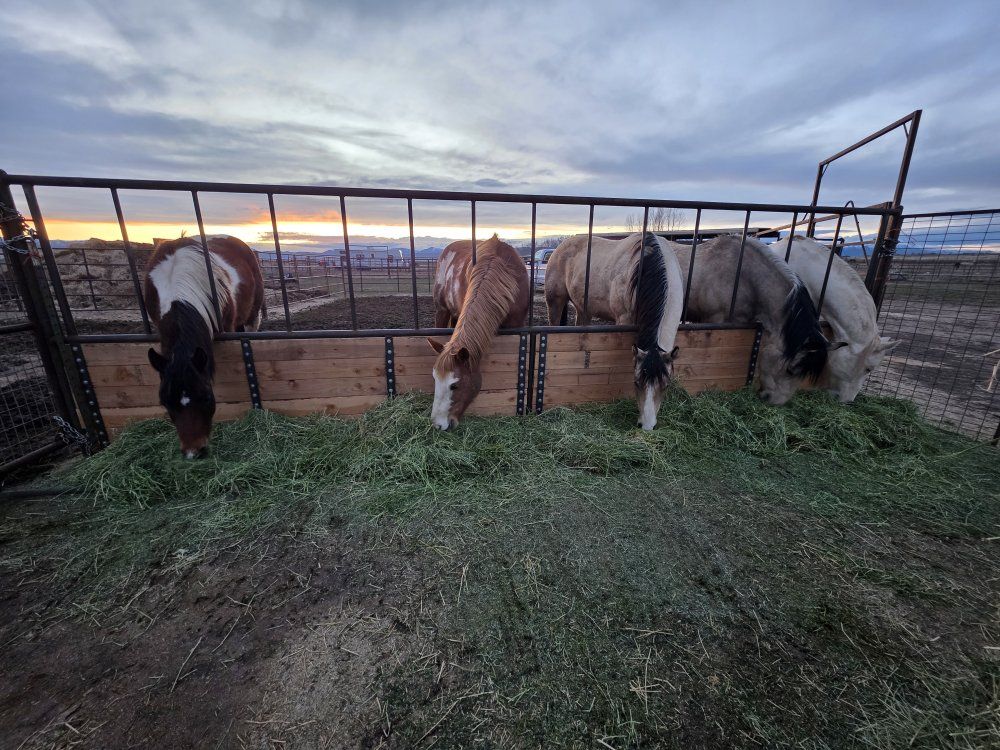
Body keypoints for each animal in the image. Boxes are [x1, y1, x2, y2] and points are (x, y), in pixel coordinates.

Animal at [544, 232, 683, 429]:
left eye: (666, 385)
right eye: (636, 382)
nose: (647, 426)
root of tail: (561, 245)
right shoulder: (623, 319)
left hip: (583, 309)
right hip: (555, 302)